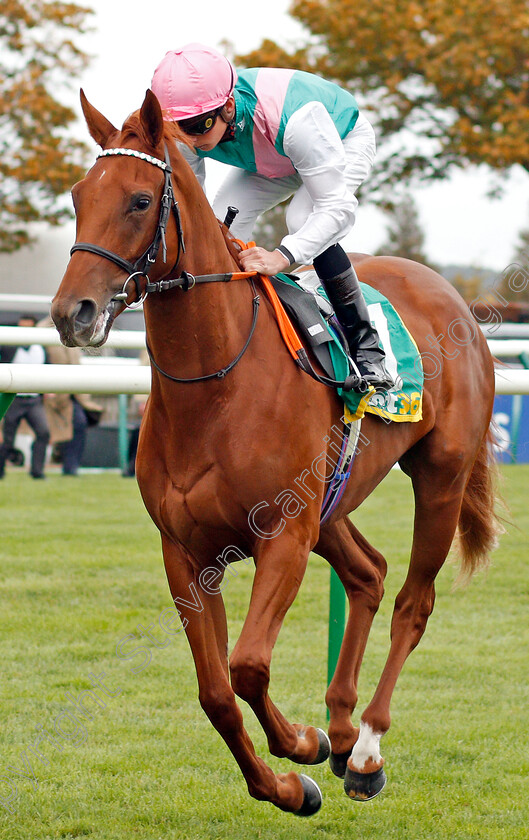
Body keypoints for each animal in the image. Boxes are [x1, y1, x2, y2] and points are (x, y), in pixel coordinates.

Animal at [50, 90, 500, 812]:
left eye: (140, 201)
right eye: (76, 196)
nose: (73, 313)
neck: (215, 388)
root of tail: (448, 292)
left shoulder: (283, 537)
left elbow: (249, 666)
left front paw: (301, 745)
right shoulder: (186, 553)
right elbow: (215, 692)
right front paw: (287, 785)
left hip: (440, 477)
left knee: (411, 602)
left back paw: (365, 747)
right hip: (332, 500)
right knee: (368, 574)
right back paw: (342, 731)